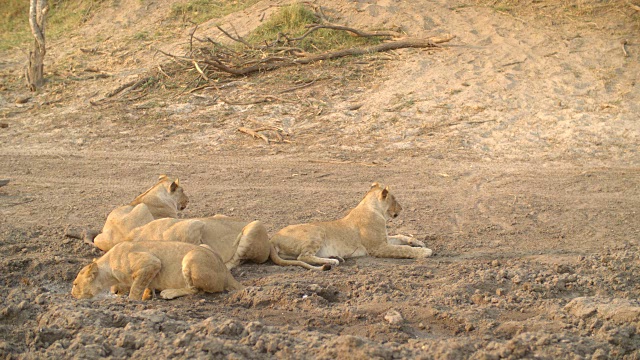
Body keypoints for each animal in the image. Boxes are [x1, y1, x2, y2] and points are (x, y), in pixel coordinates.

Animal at [71, 242, 242, 300]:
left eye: (75, 284)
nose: (72, 295)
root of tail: (227, 273)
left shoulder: (151, 262)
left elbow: (135, 288)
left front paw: (132, 301)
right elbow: (144, 284)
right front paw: (147, 295)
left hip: (191, 258)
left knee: (196, 290)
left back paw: (169, 293)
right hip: (204, 245)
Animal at [270, 183, 436, 268]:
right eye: (394, 199)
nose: (401, 209)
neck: (374, 209)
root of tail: (273, 238)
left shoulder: (384, 239)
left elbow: (401, 236)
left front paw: (419, 242)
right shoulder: (378, 247)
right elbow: (403, 249)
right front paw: (425, 251)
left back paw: (335, 257)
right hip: (317, 231)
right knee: (303, 256)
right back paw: (332, 261)